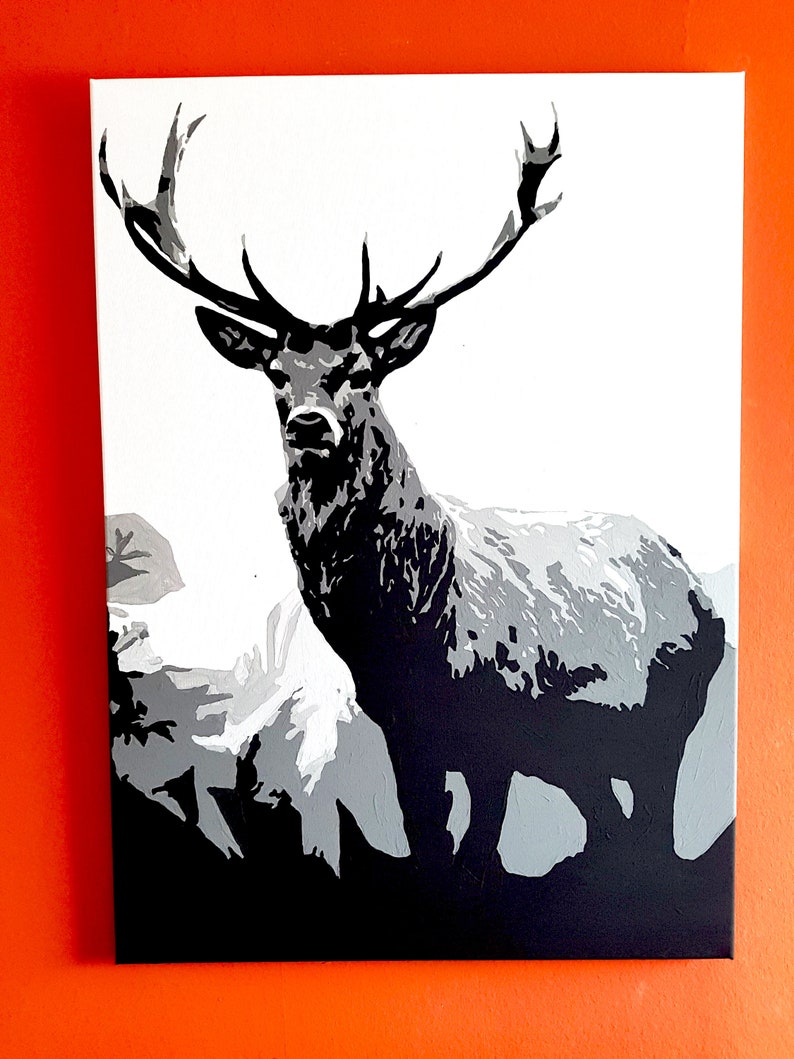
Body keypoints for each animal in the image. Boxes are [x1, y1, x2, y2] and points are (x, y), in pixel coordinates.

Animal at [99, 107, 726, 882]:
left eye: (362, 369)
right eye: (276, 372)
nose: (310, 424)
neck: (411, 629)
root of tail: (697, 589)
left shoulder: (499, 722)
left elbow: (480, 852)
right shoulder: (402, 730)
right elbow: (427, 839)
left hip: (667, 719)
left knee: (655, 831)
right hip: (579, 755)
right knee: (610, 828)